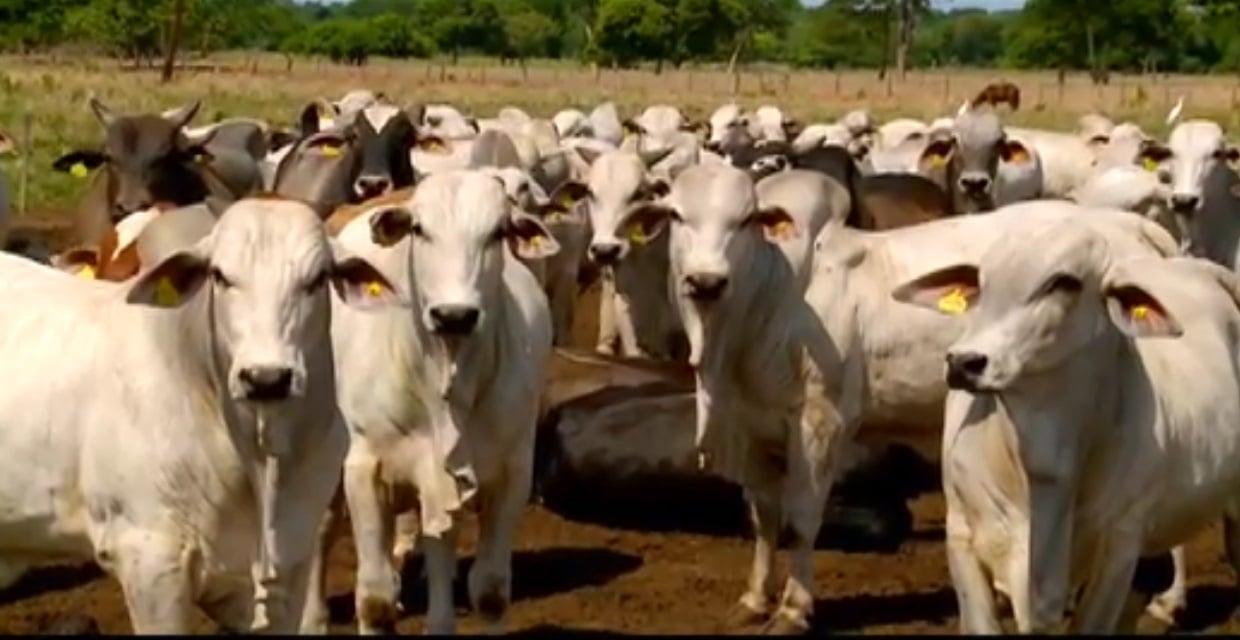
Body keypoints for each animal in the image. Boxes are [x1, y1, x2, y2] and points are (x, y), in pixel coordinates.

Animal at [332, 169, 560, 635]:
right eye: (419, 229)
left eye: (497, 233)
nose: (454, 315)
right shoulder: (363, 472)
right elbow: (375, 600)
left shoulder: (511, 474)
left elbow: (490, 592)